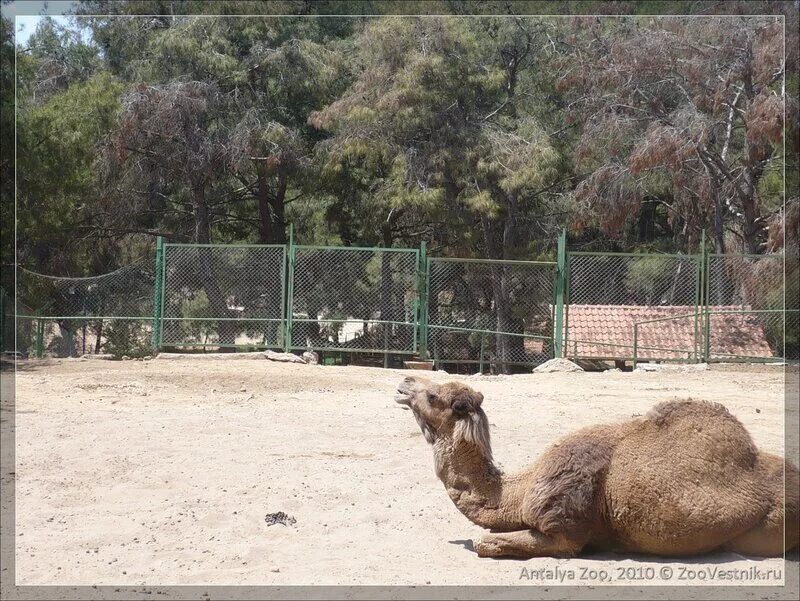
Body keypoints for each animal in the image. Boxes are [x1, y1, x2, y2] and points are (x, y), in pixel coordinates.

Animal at [396, 376, 800, 556]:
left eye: (432, 395)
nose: (404, 382)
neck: (519, 489)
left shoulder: (564, 528)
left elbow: (486, 542)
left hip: (771, 526)